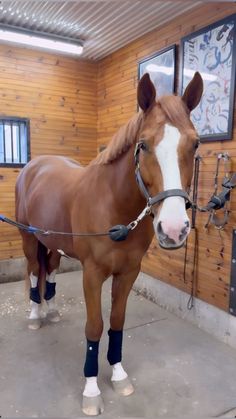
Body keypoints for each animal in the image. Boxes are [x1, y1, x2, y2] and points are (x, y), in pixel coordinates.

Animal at [15, 73, 203, 416]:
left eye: (195, 143)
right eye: (143, 145)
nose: (174, 229)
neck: (113, 205)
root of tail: (35, 166)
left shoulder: (128, 273)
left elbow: (116, 322)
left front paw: (118, 374)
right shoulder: (92, 275)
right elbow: (94, 327)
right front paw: (91, 390)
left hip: (53, 243)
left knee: (50, 272)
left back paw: (51, 310)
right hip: (29, 238)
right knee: (35, 271)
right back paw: (36, 316)